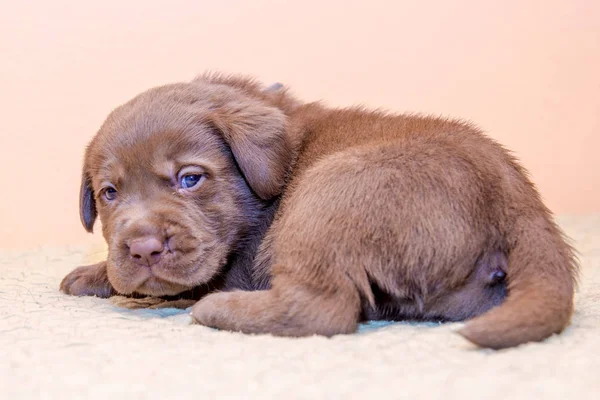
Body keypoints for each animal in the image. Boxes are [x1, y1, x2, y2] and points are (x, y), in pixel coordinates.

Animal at [61, 73, 576, 348]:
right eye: (109, 193)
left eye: (190, 178)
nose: (143, 249)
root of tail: (519, 200)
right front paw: (94, 270)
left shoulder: (240, 262)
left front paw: (97, 277)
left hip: (326, 195)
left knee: (321, 310)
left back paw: (220, 310)